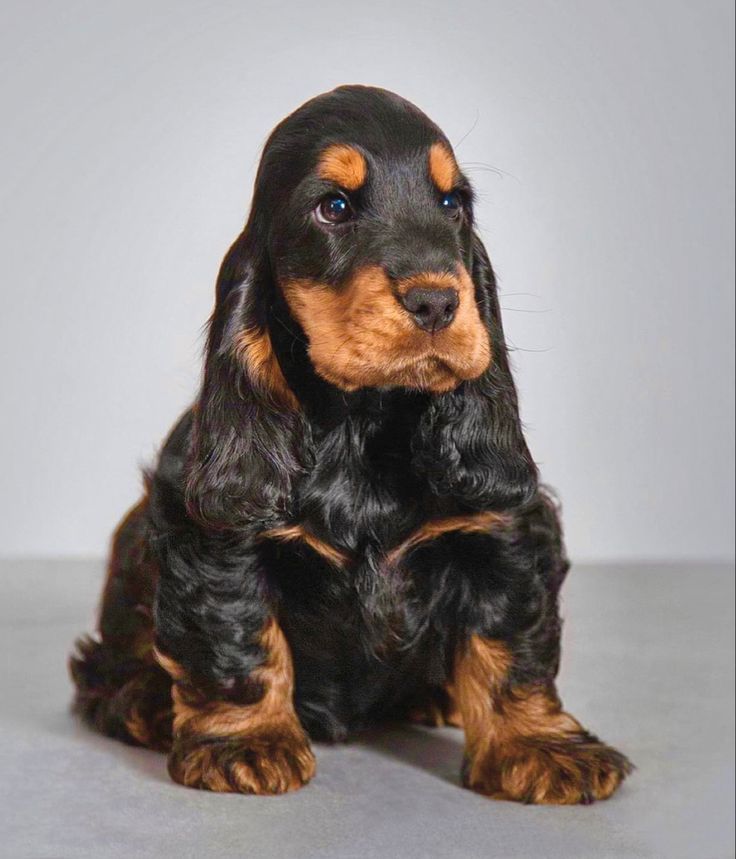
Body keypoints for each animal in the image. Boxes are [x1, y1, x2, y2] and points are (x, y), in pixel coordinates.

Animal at [70, 84, 632, 804]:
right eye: (333, 207)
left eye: (452, 204)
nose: (436, 302)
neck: (362, 423)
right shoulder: (211, 536)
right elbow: (239, 632)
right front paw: (245, 742)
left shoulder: (505, 527)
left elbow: (510, 640)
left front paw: (539, 747)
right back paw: (144, 701)